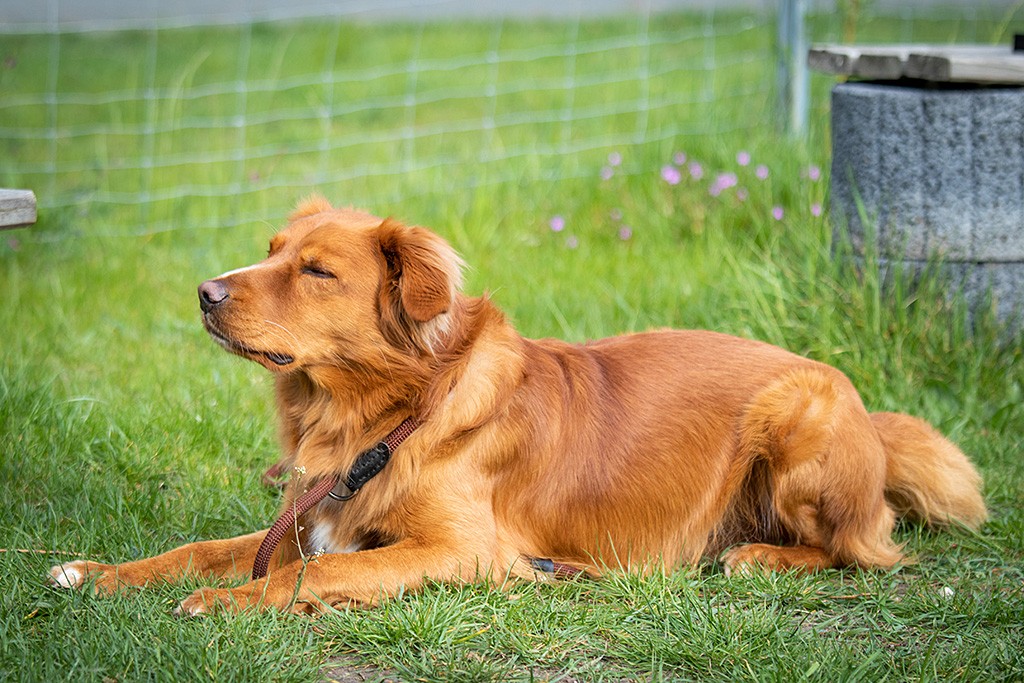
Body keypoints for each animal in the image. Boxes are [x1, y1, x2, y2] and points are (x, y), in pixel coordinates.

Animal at [46, 196, 983, 614]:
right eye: (269, 250)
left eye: (315, 270)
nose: (204, 293)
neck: (389, 414)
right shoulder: (312, 518)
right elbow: (206, 548)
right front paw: (96, 572)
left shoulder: (460, 550)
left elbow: (317, 571)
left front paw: (226, 604)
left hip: (801, 414)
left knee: (862, 551)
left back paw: (759, 554)